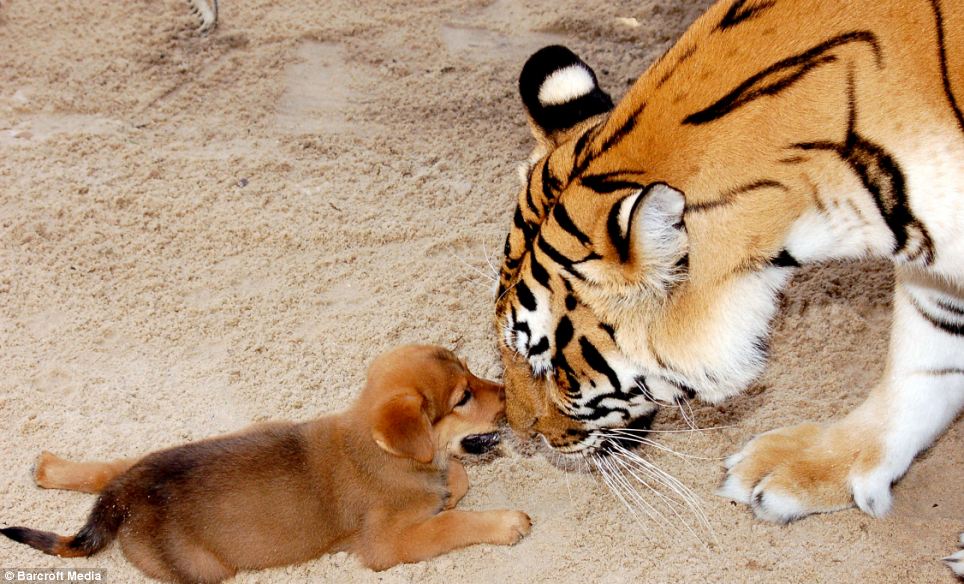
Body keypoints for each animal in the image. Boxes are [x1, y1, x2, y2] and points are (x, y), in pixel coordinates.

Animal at [0, 346, 532, 580]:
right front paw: (506, 522)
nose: (510, 395)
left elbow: (457, 481)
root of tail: (124, 497)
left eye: (472, 372)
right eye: (463, 396)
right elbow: (452, 522)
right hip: (204, 569)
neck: (384, 451)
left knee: (109, 466)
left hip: (177, 449)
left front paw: (450, 487)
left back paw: (49, 467)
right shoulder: (388, 544)